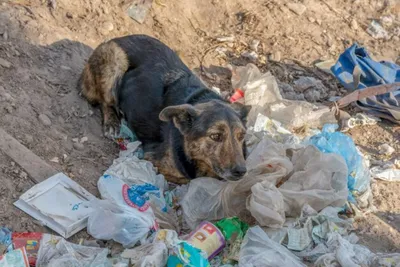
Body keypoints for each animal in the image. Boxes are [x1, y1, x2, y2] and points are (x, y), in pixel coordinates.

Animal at [78, 34, 250, 185]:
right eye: (215, 136)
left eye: (241, 136)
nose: (241, 172)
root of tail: (117, 38)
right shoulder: (154, 161)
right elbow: (188, 179)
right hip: (114, 58)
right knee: (105, 101)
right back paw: (112, 122)